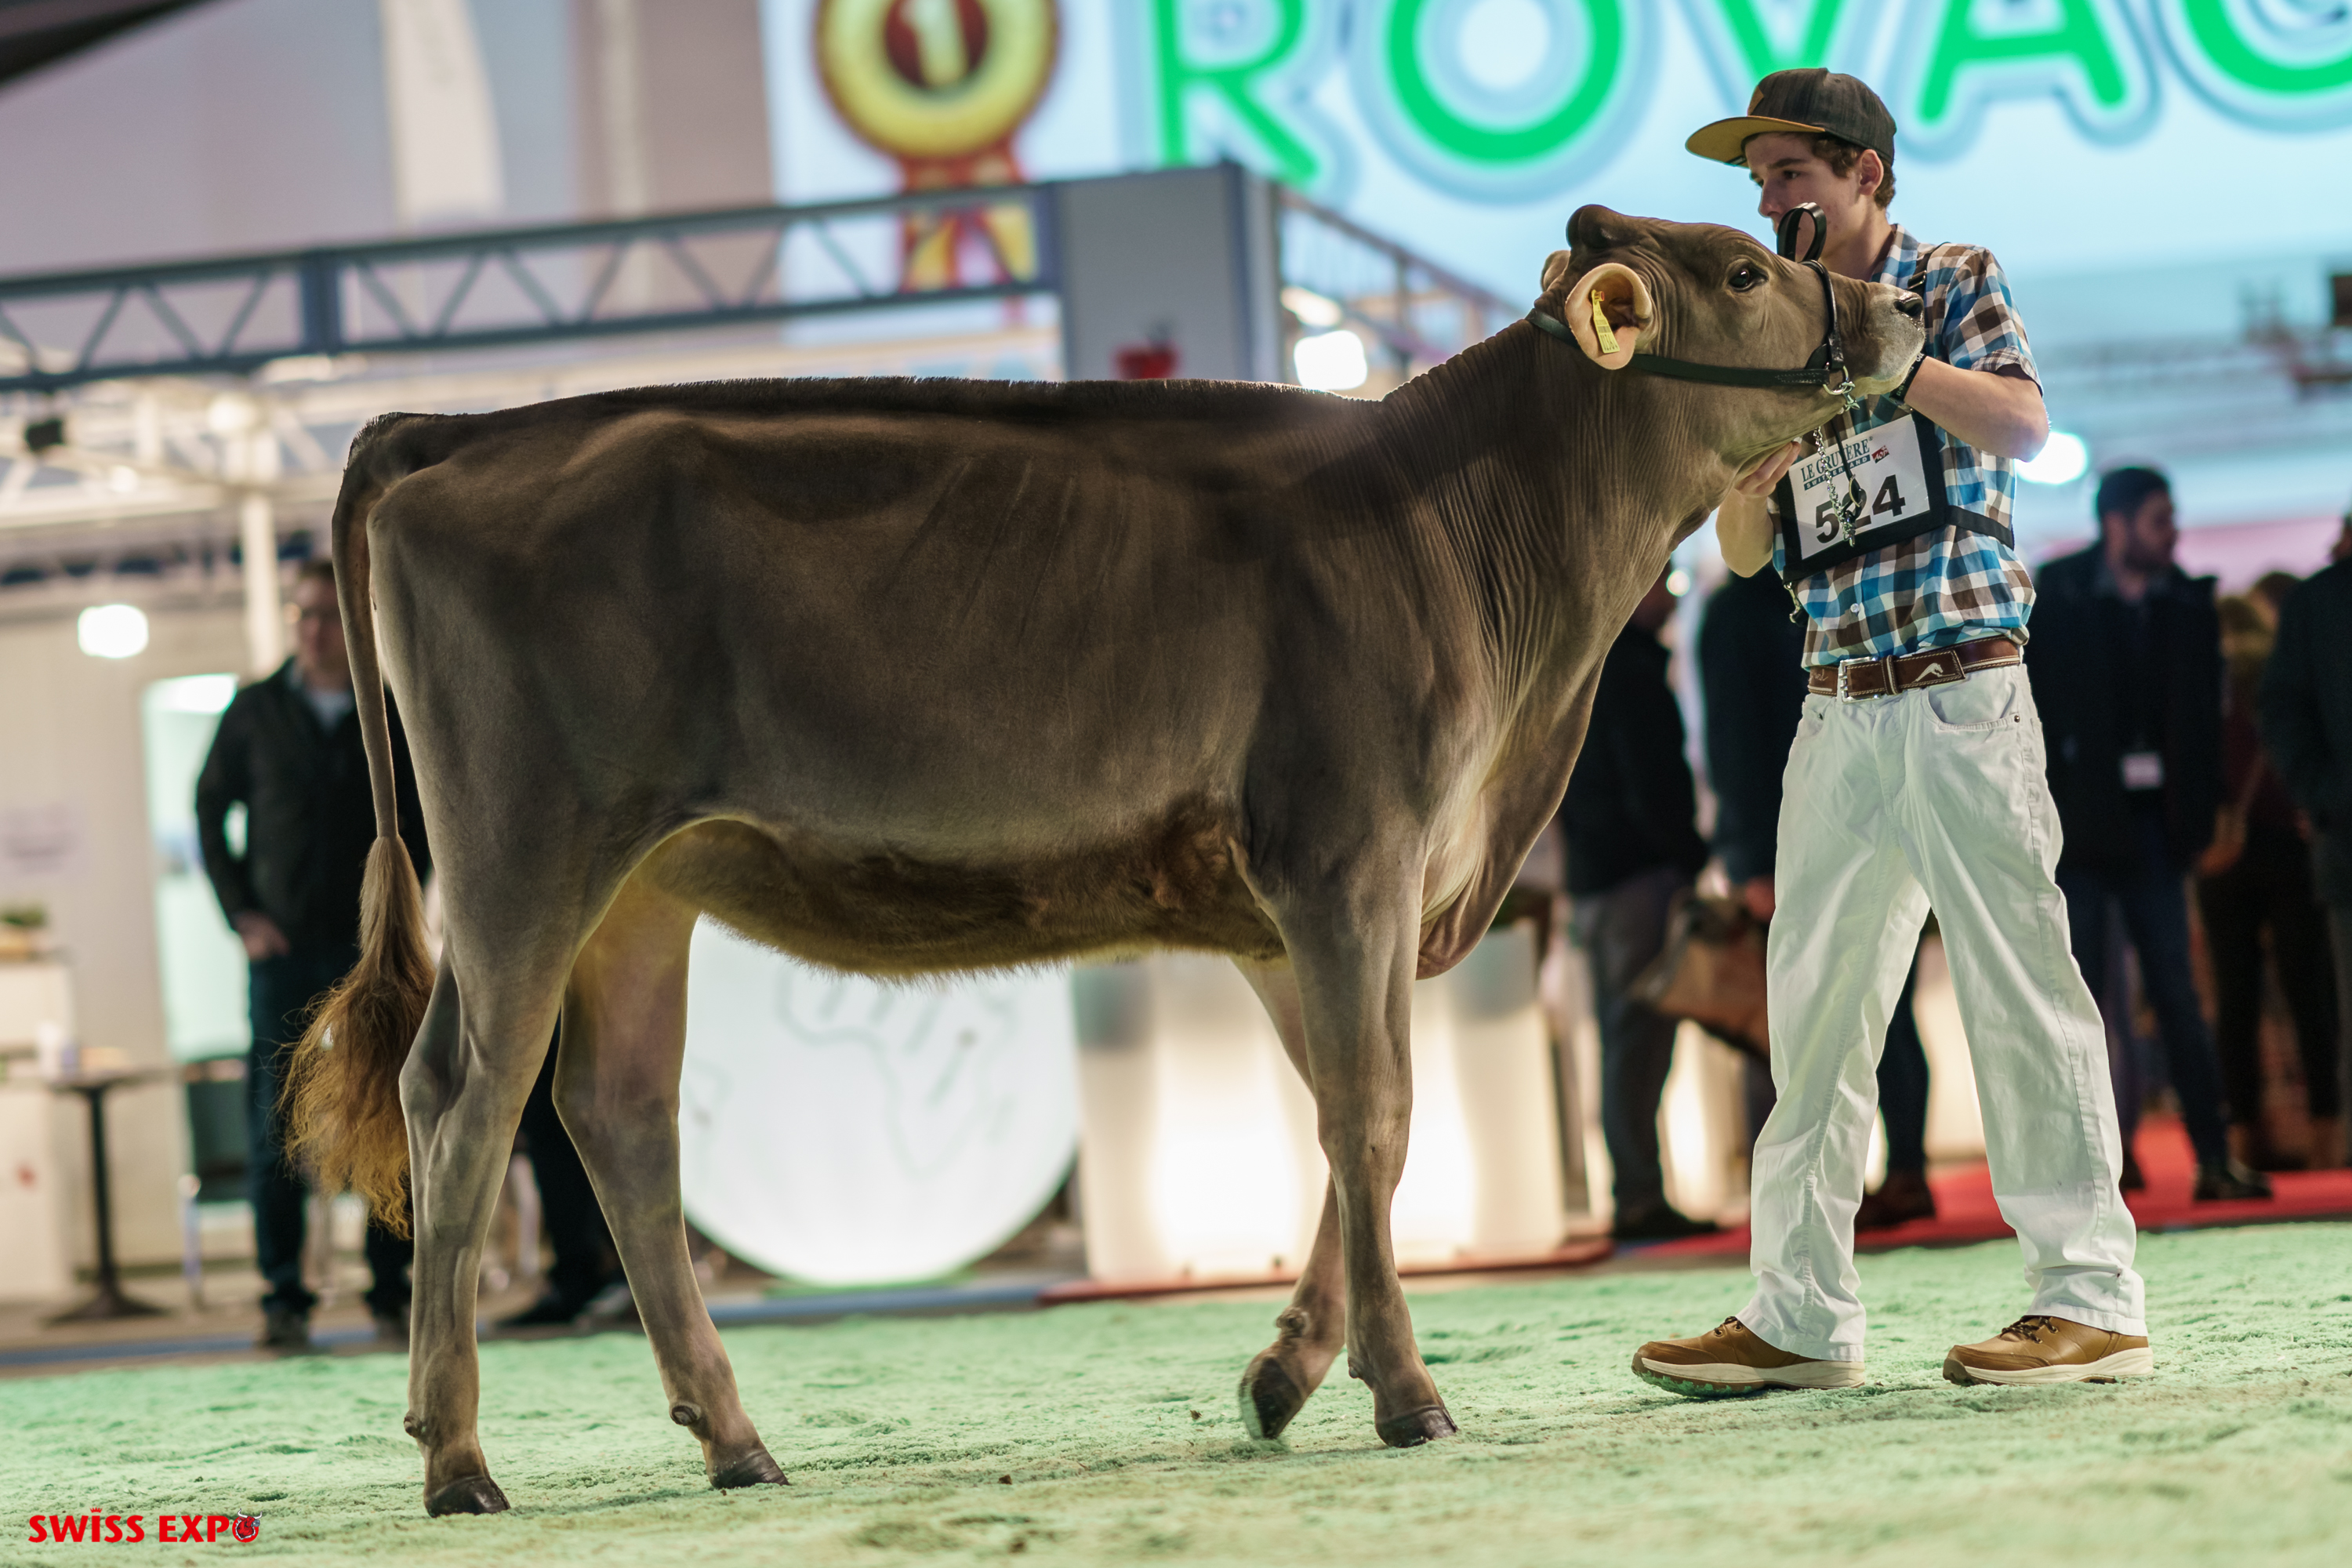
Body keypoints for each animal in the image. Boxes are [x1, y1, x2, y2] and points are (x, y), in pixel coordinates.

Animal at [287, 206, 1922, 1515]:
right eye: (1744, 269)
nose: (1903, 306)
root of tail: (458, 431)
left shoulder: (1293, 910)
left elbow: (1356, 1124)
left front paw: (1284, 1375)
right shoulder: (1350, 856)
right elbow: (1376, 1118)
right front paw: (1408, 1397)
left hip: (641, 886)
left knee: (617, 1114)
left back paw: (734, 1442)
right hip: (524, 855)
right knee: (464, 1098)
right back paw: (458, 1460)